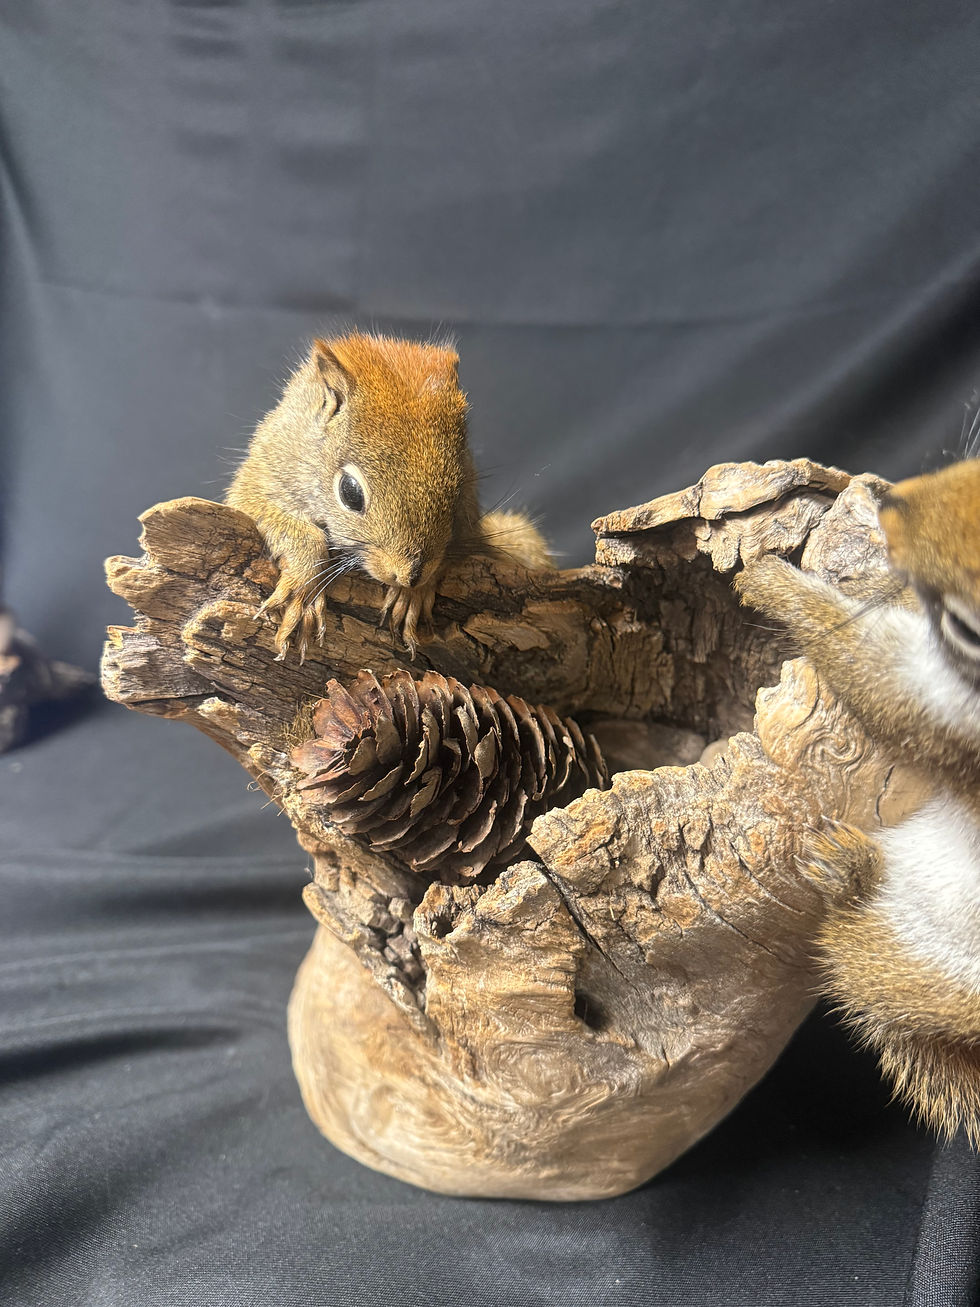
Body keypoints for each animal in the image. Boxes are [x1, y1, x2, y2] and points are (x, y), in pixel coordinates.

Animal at [227, 333, 552, 659]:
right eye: (350, 493)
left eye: (459, 489)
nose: (410, 575)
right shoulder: (258, 480)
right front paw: (303, 590)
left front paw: (412, 595)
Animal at [735, 458, 980, 1144]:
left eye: (968, 626)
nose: (894, 506)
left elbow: (862, 662)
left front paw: (768, 580)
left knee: (850, 950)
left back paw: (844, 873)